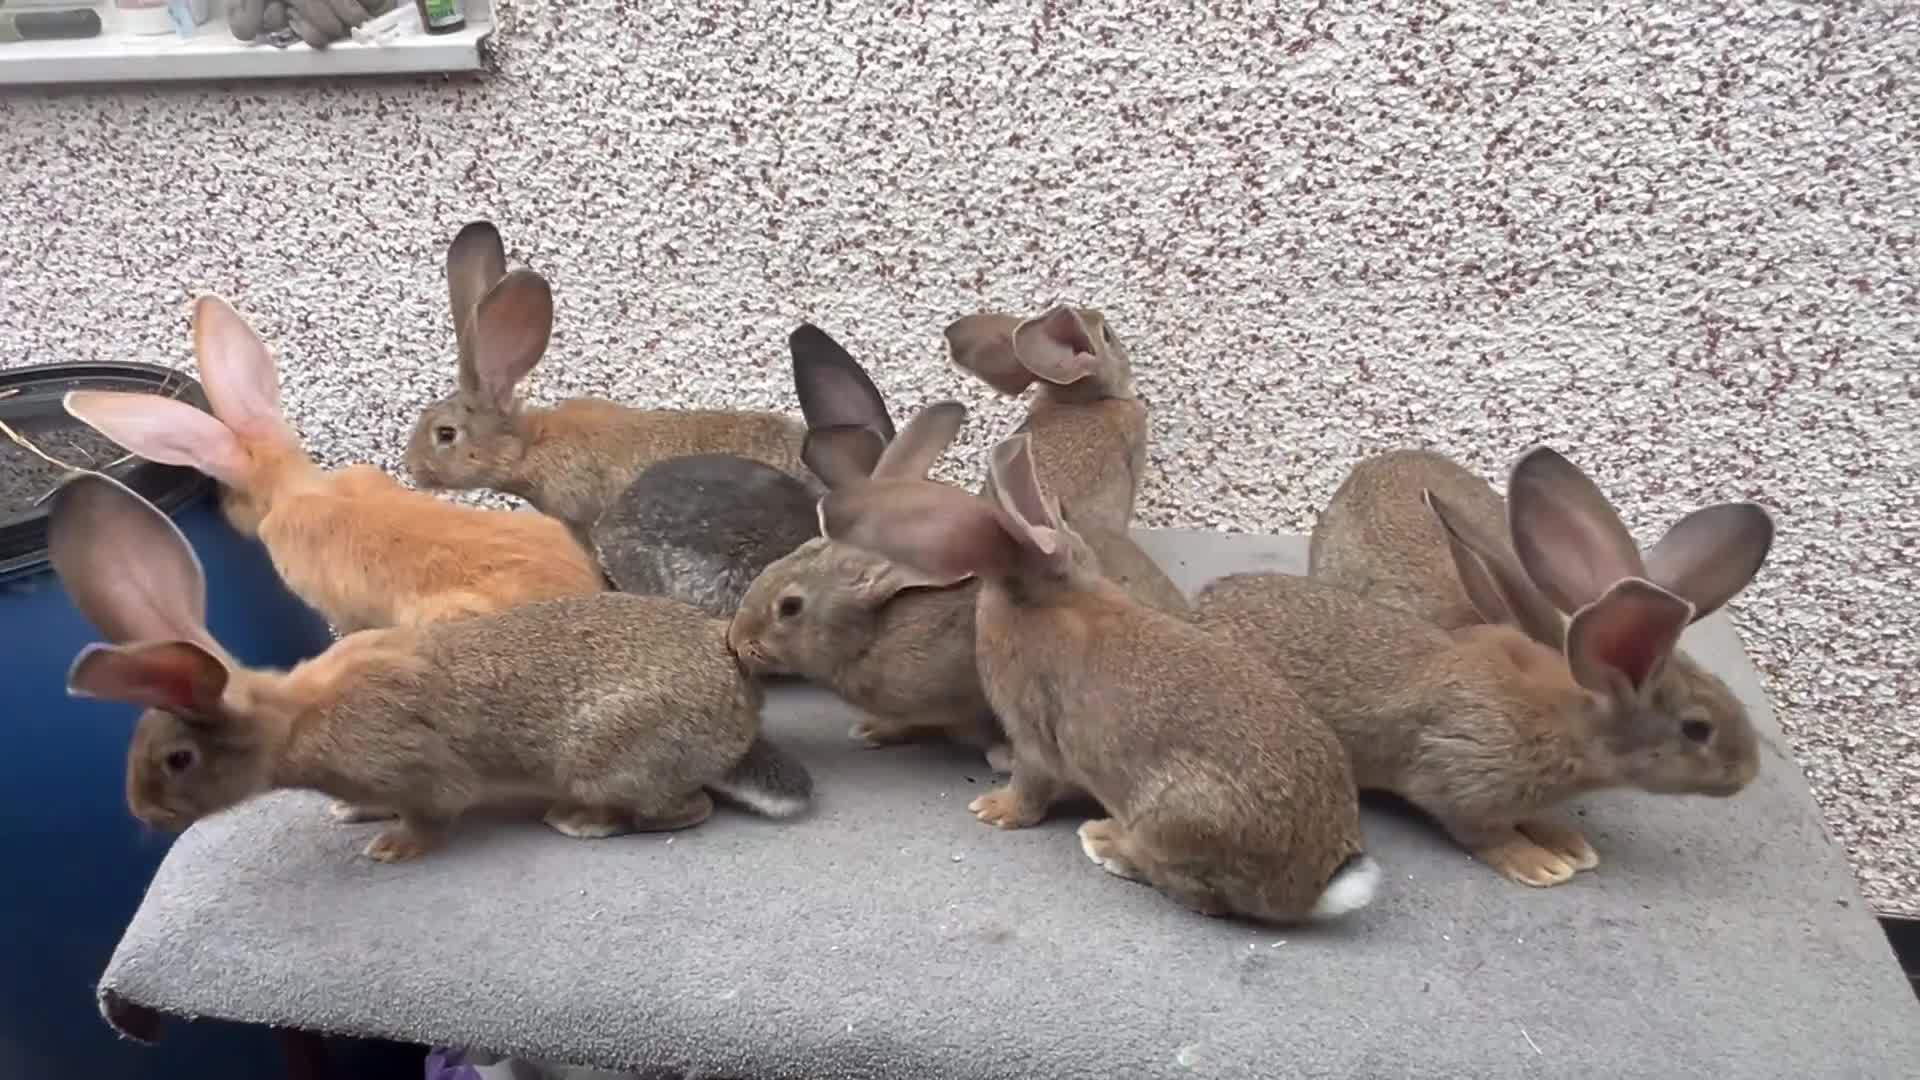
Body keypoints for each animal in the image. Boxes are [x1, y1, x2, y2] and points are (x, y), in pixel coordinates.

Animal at [46, 470, 813, 863]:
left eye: (177, 760)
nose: (145, 814)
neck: (295, 720)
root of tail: (735, 690)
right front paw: (350, 813)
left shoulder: (420, 774)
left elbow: (433, 811)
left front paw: (389, 849)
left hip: (608, 760)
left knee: (685, 809)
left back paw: (579, 823)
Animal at [815, 428, 1379, 923]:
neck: (1048, 596)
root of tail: (1310, 889)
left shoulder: (1033, 735)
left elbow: (1030, 784)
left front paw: (994, 810)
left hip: (1181, 818)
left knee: (1201, 896)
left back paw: (1103, 842)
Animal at [1196, 458, 1773, 887]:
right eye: (1696, 729)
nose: (1748, 773)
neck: (1568, 718)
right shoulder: (1460, 778)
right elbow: (1484, 833)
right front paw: (1541, 864)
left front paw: (1567, 843)